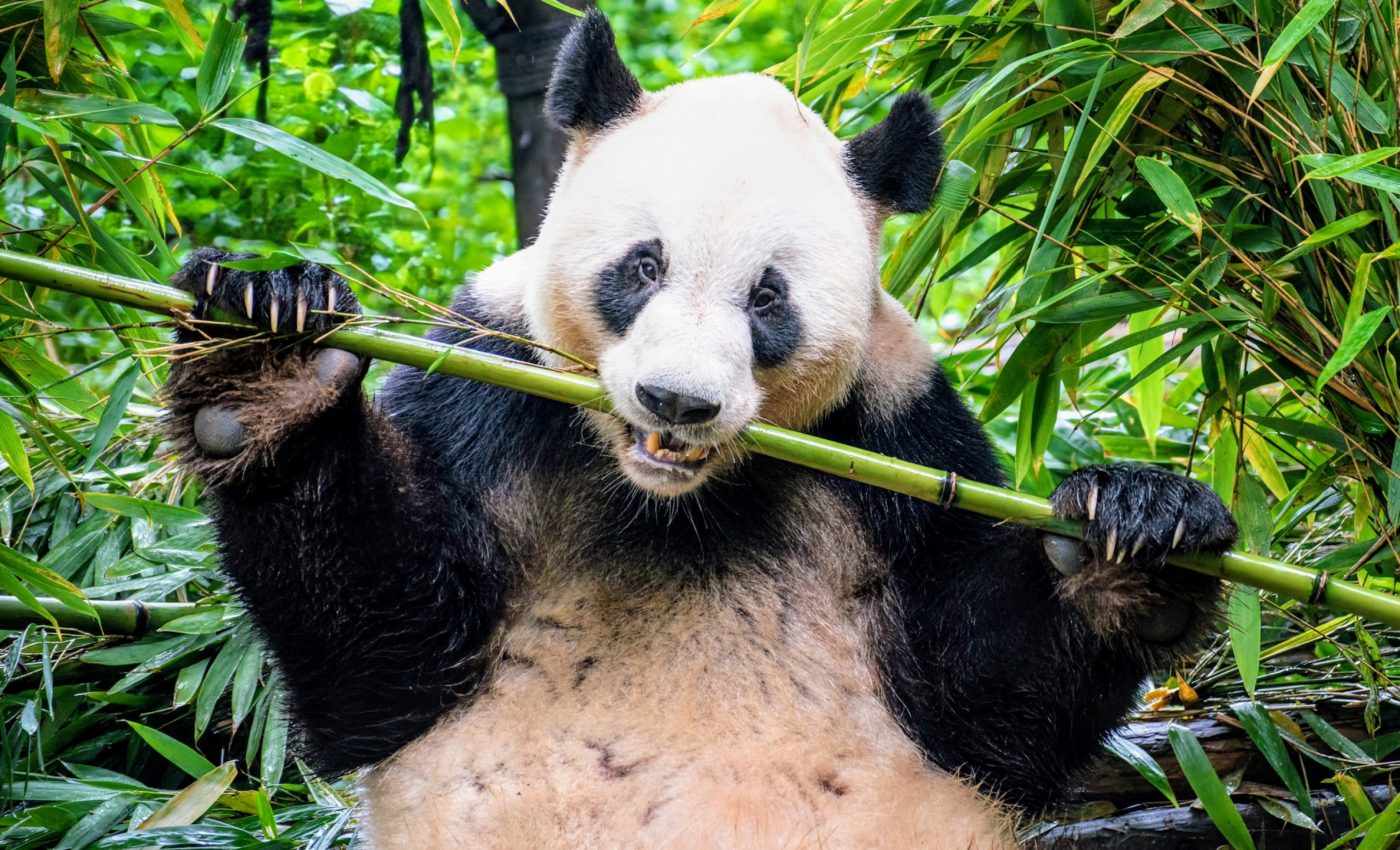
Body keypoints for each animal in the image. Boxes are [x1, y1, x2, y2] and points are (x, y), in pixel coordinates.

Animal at [161, 10, 1237, 850]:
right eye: (643, 266)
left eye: (767, 298)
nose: (677, 402)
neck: (671, 503)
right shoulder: (485, 385)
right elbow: (387, 657)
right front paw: (262, 350)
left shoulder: (901, 439)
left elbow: (984, 703)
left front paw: (1136, 530)